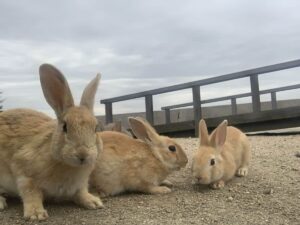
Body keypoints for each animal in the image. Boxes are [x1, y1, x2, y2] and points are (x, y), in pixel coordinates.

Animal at [0, 63, 103, 220]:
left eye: (96, 127)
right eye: (65, 127)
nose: (83, 155)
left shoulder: (80, 185)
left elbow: (81, 192)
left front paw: (94, 202)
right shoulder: (24, 173)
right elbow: (31, 194)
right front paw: (36, 214)